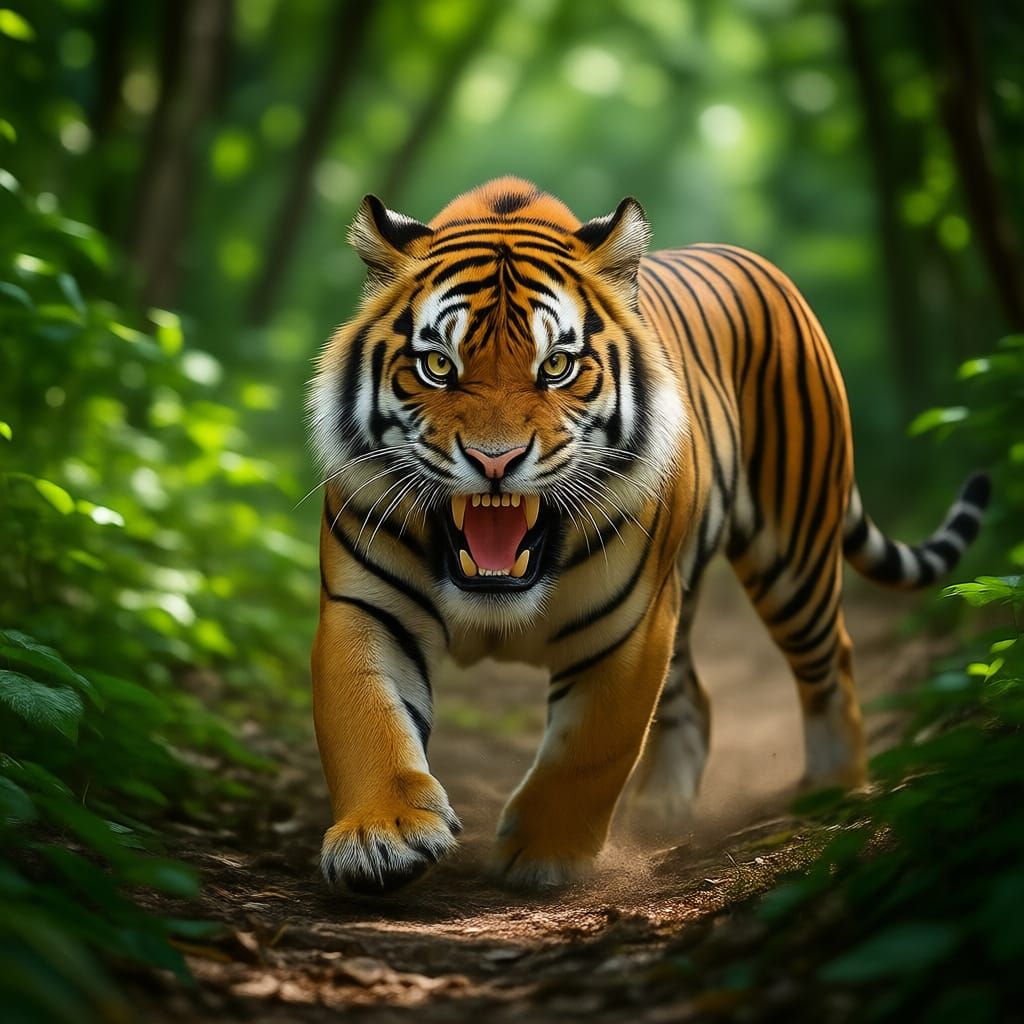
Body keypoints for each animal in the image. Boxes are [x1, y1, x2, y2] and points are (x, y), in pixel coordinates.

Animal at [307, 176, 988, 894]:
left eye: (557, 366)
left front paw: (544, 853)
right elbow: (368, 723)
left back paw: (834, 790)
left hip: (792, 556)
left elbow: (592, 747)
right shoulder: (365, 608)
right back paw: (662, 810)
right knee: (698, 698)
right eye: (438, 365)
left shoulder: (629, 629)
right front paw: (381, 836)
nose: (496, 459)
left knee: (832, 662)